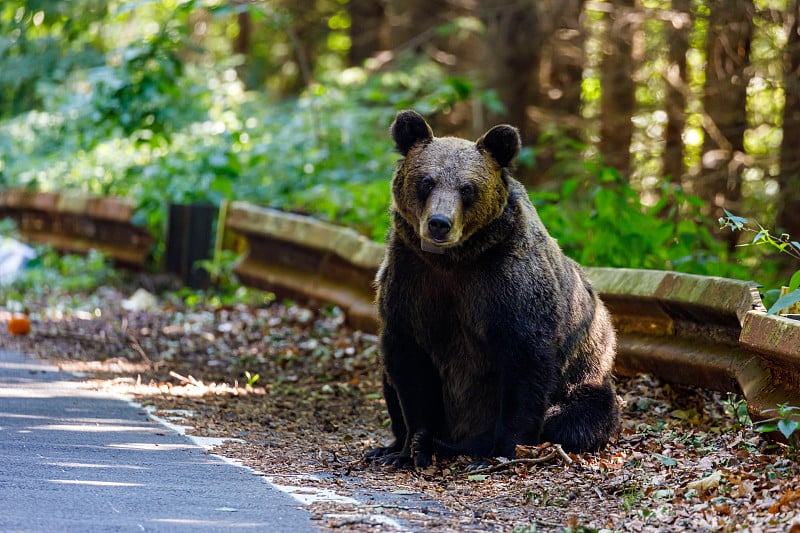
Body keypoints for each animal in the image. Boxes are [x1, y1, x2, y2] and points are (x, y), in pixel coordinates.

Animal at [368, 110, 620, 468]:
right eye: (427, 181)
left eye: (467, 188)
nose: (439, 223)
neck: (454, 262)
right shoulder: (410, 280)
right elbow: (408, 368)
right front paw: (411, 447)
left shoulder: (509, 284)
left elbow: (523, 365)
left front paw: (504, 450)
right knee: (388, 380)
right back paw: (392, 447)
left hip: (586, 377)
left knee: (574, 417)